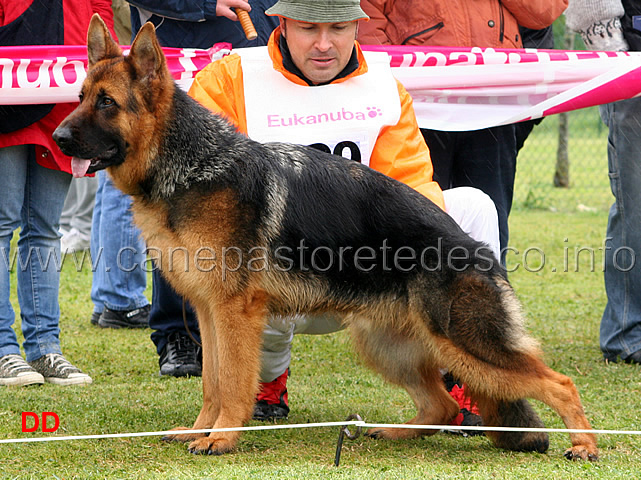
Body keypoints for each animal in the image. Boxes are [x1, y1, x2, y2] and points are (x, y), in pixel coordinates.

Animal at [52, 13, 596, 460]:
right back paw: (395, 432)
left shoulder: (233, 314)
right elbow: (212, 383)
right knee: (441, 406)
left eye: (107, 103)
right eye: (79, 98)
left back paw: (585, 445)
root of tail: (479, 253)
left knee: (560, 383)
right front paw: (202, 429)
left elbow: (231, 383)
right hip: (385, 343)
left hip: (464, 342)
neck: (191, 166)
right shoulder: (208, 312)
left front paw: (222, 437)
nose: (56, 139)